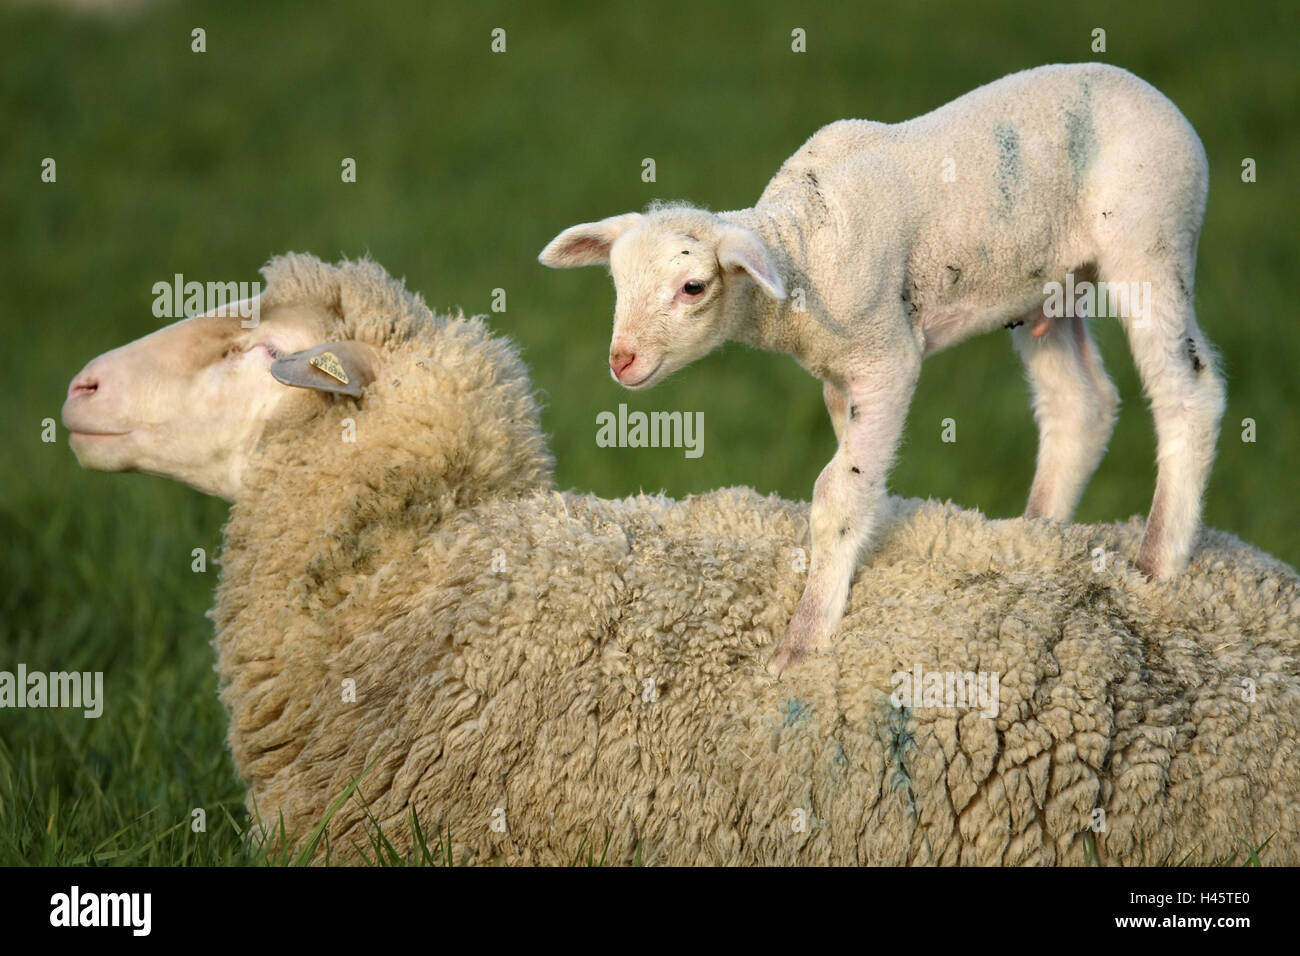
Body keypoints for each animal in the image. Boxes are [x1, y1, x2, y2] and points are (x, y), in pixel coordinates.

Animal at [533, 61, 1222, 671]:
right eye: (617, 282)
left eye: (693, 287)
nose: (622, 361)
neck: (799, 250)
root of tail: (1158, 98)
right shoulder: (843, 376)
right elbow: (856, 477)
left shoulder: (887, 356)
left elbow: (836, 491)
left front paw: (804, 639)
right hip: (1044, 285)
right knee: (1081, 402)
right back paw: (1035, 531)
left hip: (1150, 236)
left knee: (1189, 390)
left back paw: (1157, 563)